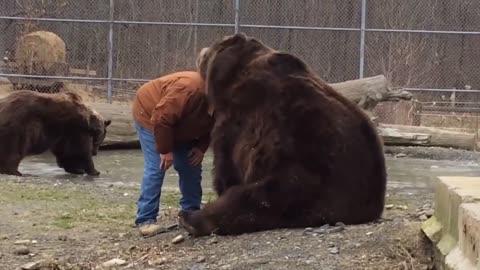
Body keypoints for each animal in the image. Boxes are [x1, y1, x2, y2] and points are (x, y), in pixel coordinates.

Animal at [178, 33, 388, 236]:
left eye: (214, 46)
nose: (202, 51)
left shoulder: (237, 120)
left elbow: (226, 164)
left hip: (307, 173)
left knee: (254, 200)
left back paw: (190, 218)